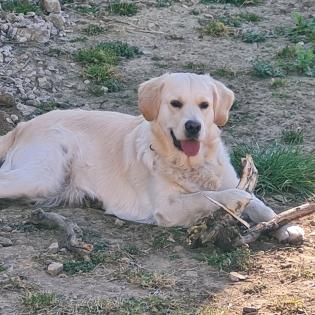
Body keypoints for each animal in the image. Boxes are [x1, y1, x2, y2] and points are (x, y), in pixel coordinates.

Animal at [0, 73, 306, 243]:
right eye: (175, 103)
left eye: (204, 105)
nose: (193, 126)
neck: (190, 164)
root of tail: (24, 125)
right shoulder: (168, 207)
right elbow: (209, 196)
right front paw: (234, 199)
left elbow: (262, 205)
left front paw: (285, 226)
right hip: (42, 174)